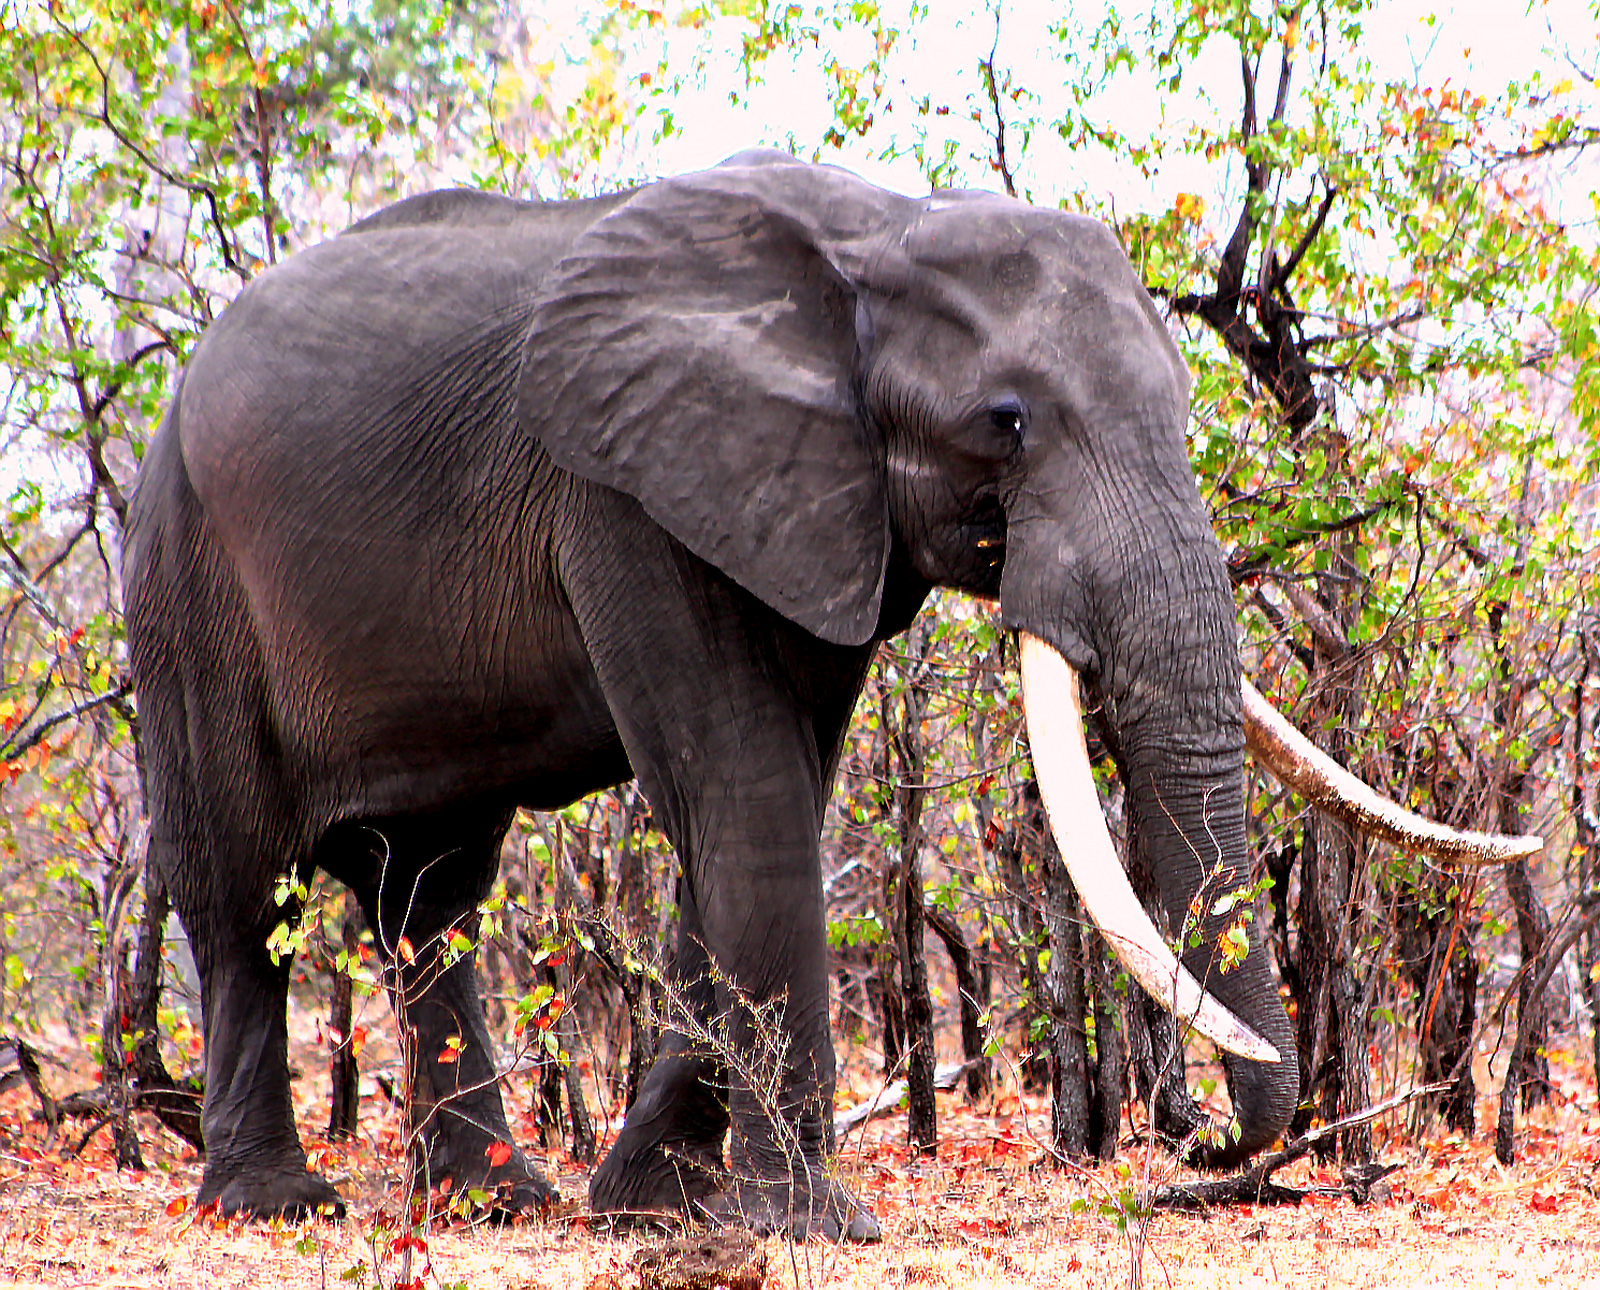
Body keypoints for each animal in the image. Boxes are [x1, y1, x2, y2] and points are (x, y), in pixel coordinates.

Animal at [121, 146, 1523, 1235]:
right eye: (1007, 421)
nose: (1207, 1146)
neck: (872, 233)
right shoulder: (624, 489)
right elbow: (743, 787)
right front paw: (804, 1222)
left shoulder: (822, 505)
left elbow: (778, 786)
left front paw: (658, 1206)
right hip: (181, 570)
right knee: (241, 889)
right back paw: (274, 1205)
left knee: (434, 896)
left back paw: (497, 1204)